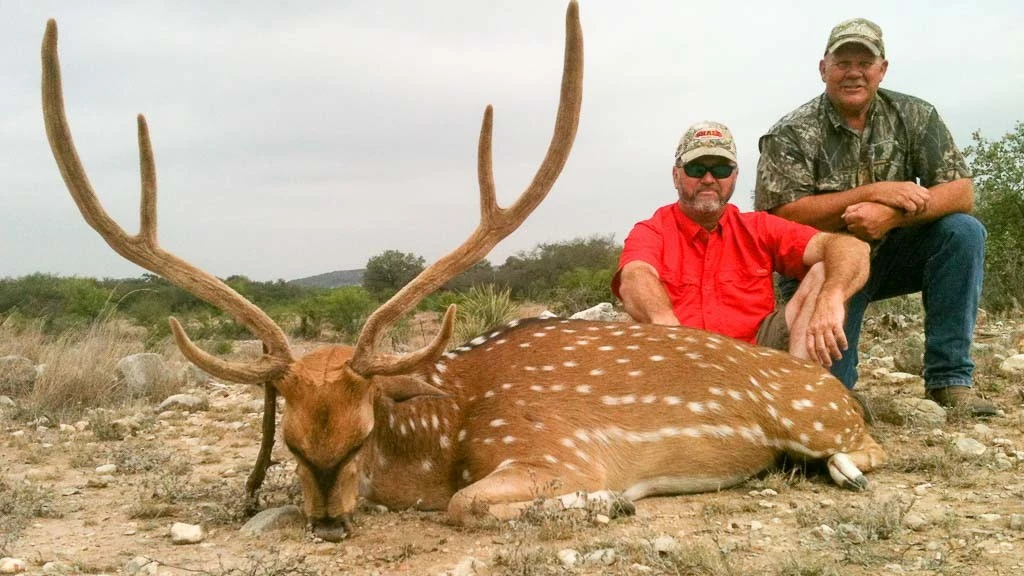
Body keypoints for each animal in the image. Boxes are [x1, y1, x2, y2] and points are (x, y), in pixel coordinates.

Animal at [44, 3, 884, 541]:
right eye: (289, 443)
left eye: (360, 435)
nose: (328, 521)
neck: (442, 432)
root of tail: (835, 385)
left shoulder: (559, 451)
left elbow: (466, 506)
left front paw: (604, 505)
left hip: (816, 416)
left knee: (865, 447)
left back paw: (844, 468)